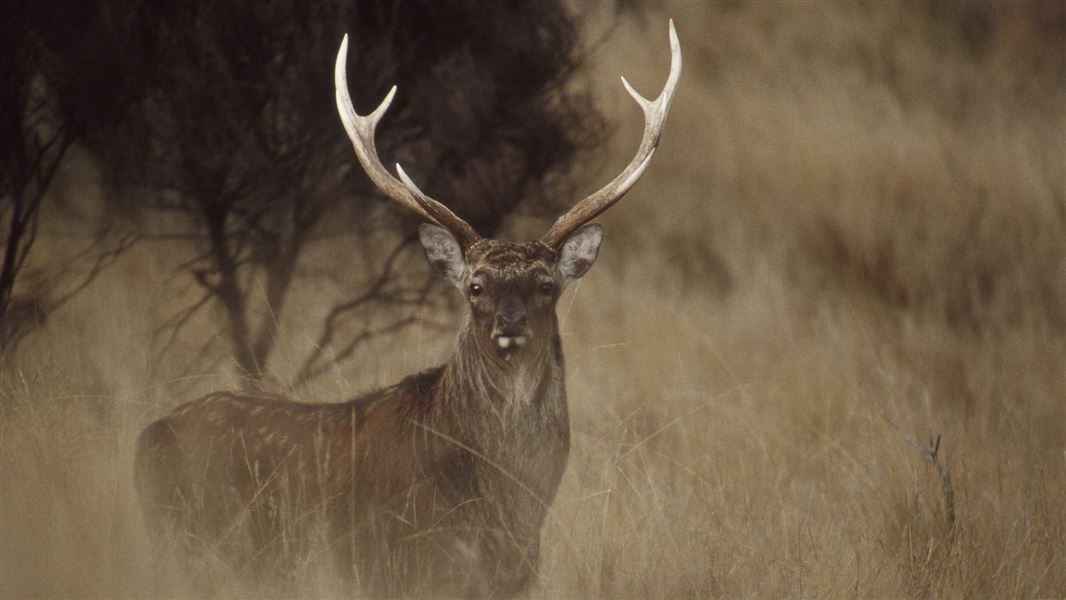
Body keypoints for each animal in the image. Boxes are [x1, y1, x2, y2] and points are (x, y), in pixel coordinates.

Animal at [135, 20, 680, 598]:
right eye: (475, 286)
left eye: (546, 285)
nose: (509, 325)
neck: (506, 513)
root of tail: (147, 440)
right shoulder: (398, 566)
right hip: (189, 545)